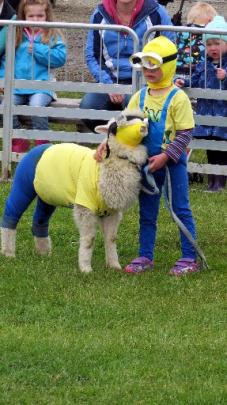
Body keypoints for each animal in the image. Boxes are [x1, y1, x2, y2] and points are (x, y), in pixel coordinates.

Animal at [0, 109, 148, 272]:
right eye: (117, 125)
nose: (145, 126)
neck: (105, 166)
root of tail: (37, 149)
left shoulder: (112, 212)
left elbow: (111, 239)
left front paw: (114, 265)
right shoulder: (85, 206)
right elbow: (89, 239)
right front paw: (85, 268)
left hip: (47, 194)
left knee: (39, 220)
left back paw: (43, 252)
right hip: (22, 185)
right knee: (10, 215)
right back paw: (8, 252)